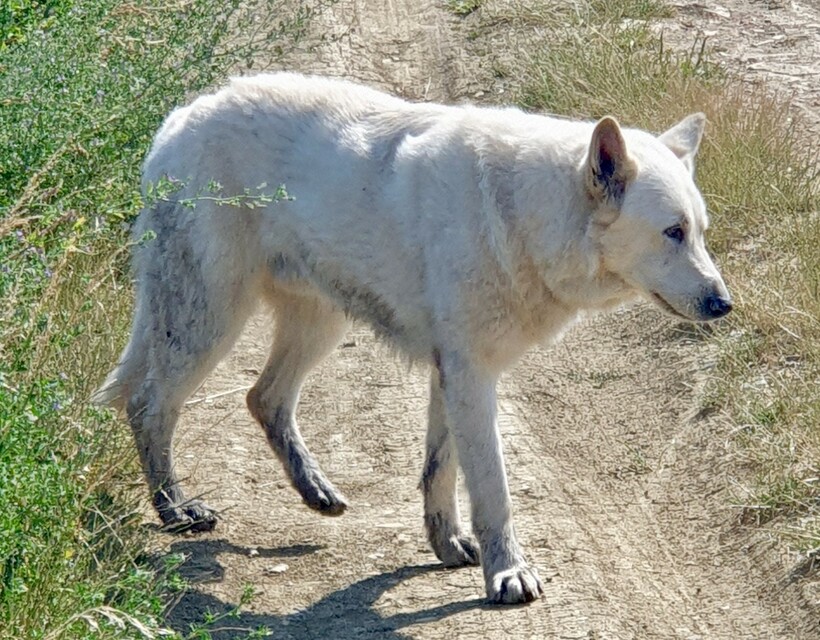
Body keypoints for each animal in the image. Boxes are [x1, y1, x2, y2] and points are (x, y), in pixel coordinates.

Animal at [96, 74, 732, 604]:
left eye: (699, 233)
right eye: (672, 233)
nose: (725, 305)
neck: (523, 215)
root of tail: (180, 117)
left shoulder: (452, 374)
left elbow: (439, 473)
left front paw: (447, 547)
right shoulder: (470, 376)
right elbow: (493, 491)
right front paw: (508, 575)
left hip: (316, 327)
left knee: (263, 398)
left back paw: (315, 491)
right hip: (211, 324)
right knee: (149, 404)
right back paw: (176, 509)